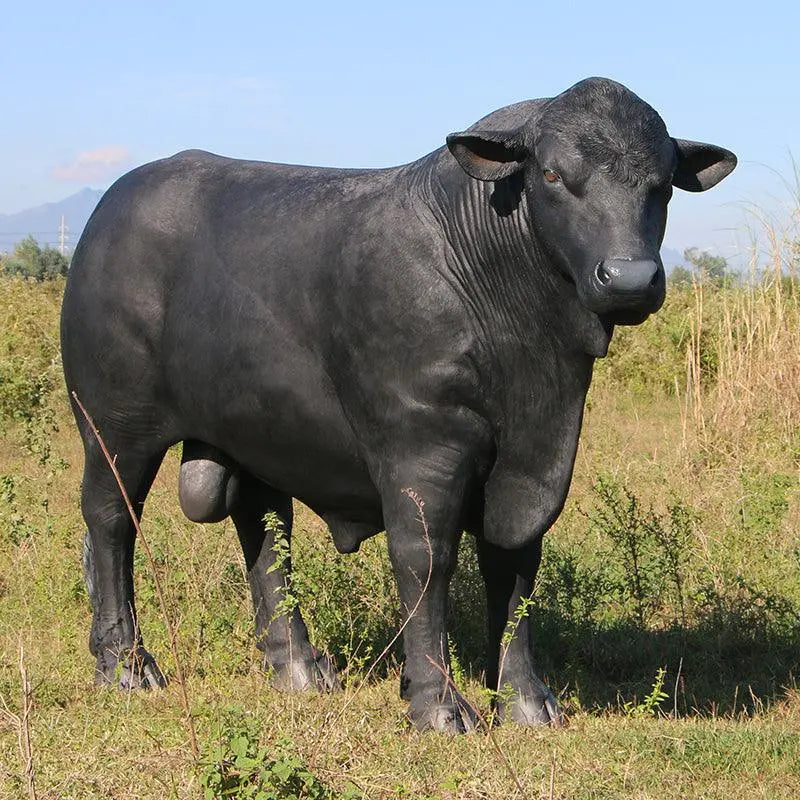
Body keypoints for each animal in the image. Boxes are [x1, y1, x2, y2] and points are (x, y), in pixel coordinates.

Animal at [61, 77, 736, 732]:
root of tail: (117, 200)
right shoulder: (424, 445)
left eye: (661, 186)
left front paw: (525, 702)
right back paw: (125, 665)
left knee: (267, 531)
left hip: (257, 430)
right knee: (111, 520)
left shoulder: (531, 465)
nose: (630, 277)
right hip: (115, 424)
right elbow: (426, 560)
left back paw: (298, 668)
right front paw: (438, 705)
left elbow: (514, 566)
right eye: (550, 174)